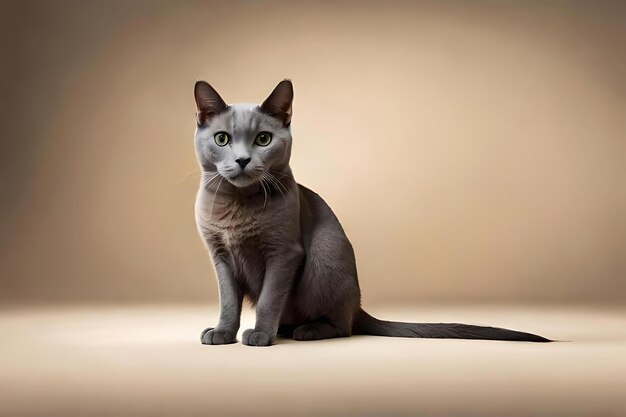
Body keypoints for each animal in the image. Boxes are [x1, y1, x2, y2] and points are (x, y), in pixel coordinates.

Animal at [193, 78, 548, 344]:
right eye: (222, 139)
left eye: (263, 139)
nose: (242, 160)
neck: (237, 205)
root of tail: (359, 305)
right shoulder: (220, 255)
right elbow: (228, 300)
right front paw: (222, 333)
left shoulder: (284, 253)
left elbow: (269, 298)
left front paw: (260, 335)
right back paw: (286, 329)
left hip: (323, 255)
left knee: (342, 325)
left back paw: (304, 331)